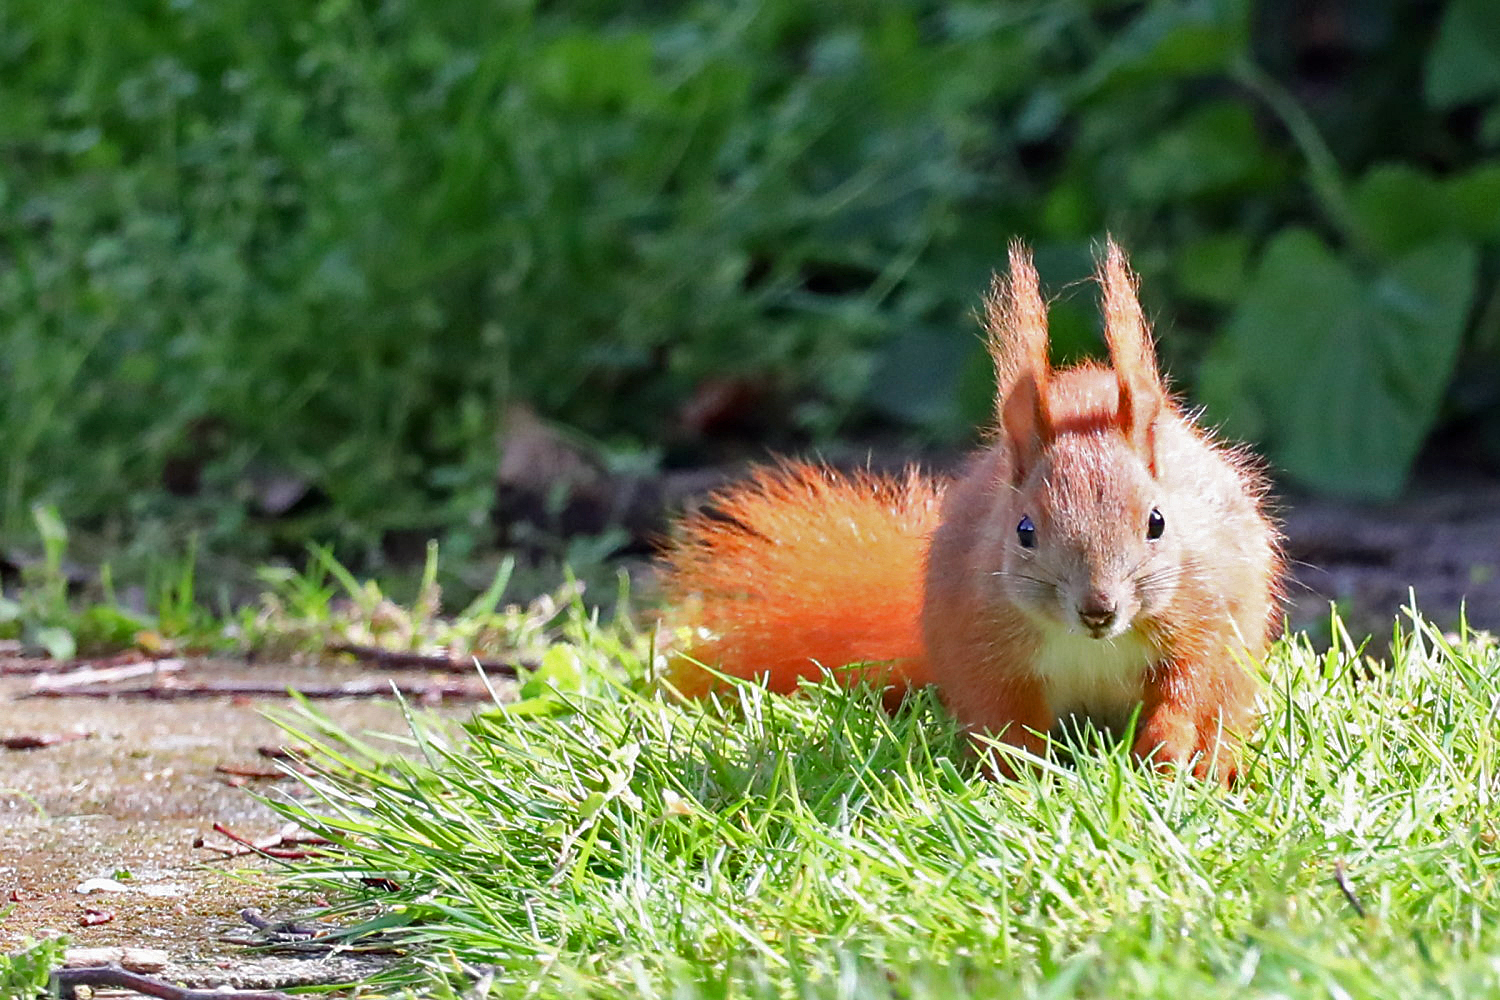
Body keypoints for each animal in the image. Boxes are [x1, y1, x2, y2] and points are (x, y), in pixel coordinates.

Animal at [663, 242, 1284, 779]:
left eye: (1157, 522)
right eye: (1025, 530)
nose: (1098, 609)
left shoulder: (1203, 608)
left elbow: (1191, 682)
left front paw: (1166, 746)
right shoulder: (979, 634)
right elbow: (1001, 714)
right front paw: (1016, 773)